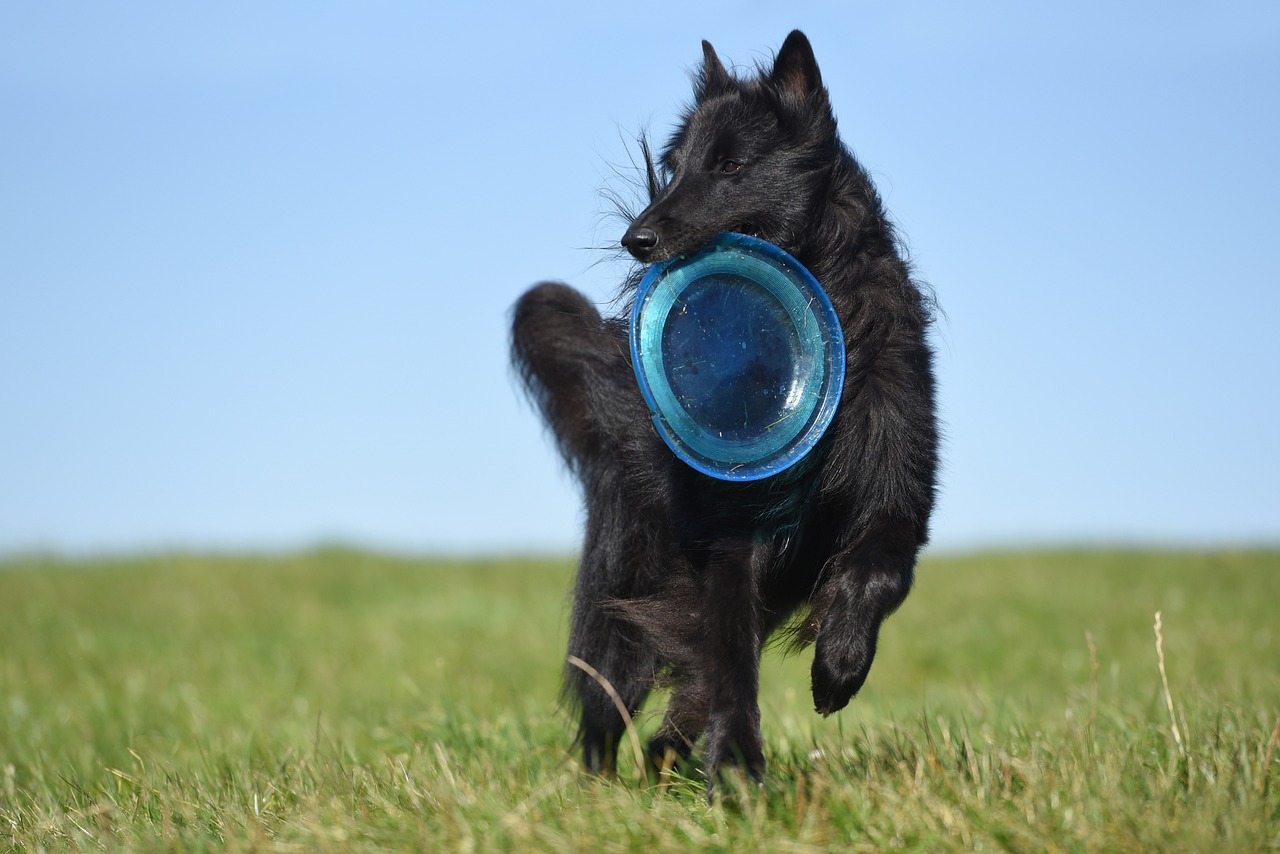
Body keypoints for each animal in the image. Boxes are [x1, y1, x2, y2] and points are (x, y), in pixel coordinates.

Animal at [512, 31, 942, 783]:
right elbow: (733, 657)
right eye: (673, 168)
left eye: (731, 165)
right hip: (624, 597)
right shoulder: (732, 542)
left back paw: (668, 761)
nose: (636, 240)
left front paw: (839, 666)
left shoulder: (898, 497)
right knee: (609, 706)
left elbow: (878, 573)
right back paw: (602, 790)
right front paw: (740, 767)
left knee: (678, 701)